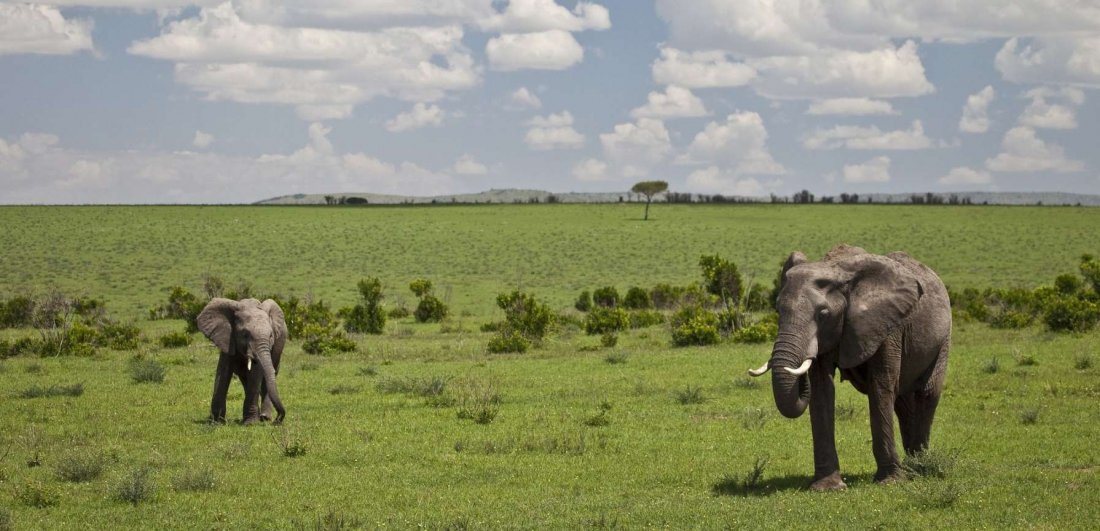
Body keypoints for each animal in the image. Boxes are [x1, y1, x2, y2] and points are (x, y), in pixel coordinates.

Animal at [196, 296, 286, 426]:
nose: (278, 420)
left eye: (271, 336)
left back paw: (264, 417)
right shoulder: (227, 338)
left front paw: (250, 423)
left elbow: (255, 373)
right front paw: (216, 421)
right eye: (245, 334)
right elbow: (223, 371)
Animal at [748, 247, 954, 492]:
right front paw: (827, 487)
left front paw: (890, 482)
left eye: (823, 314)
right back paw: (911, 464)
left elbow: (881, 388)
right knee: (903, 402)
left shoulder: (887, 326)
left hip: (943, 338)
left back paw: (920, 467)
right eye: (778, 309)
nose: (798, 370)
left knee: (927, 393)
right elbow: (822, 390)